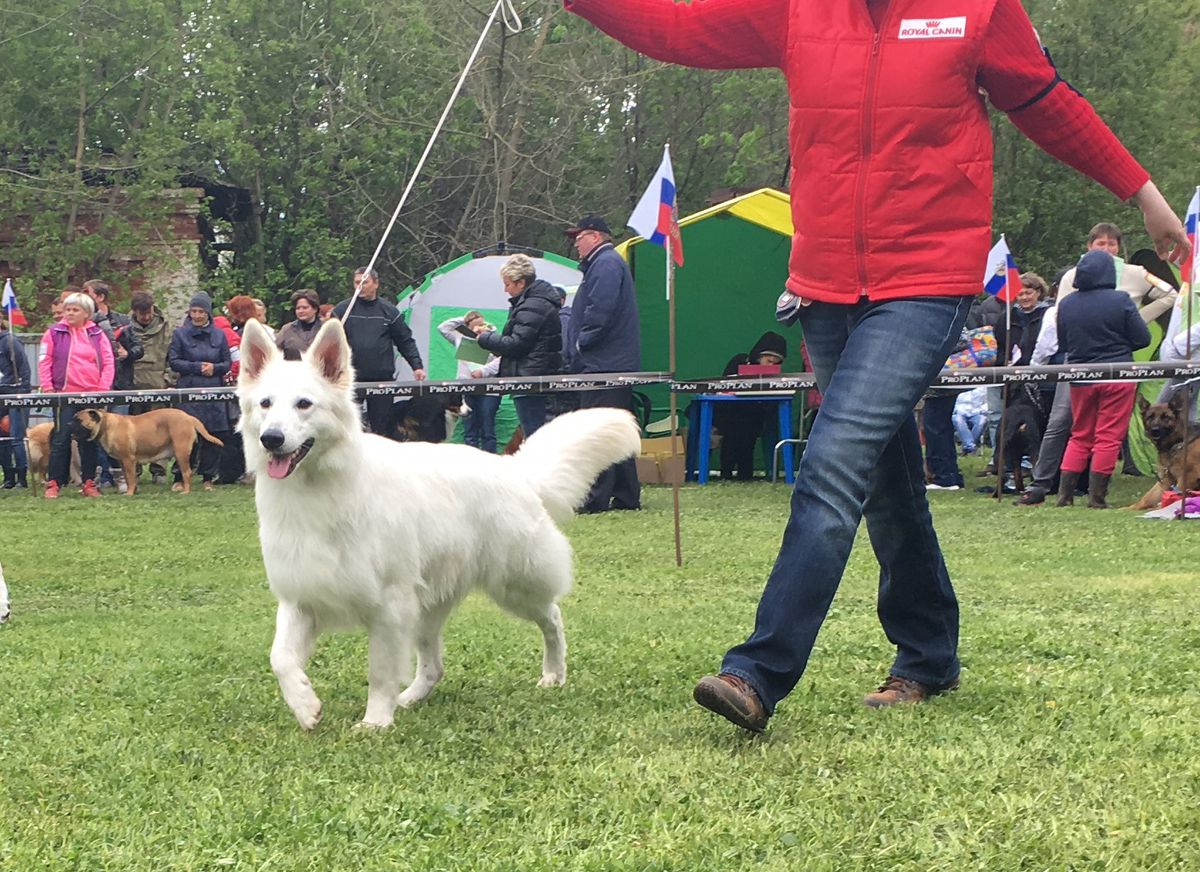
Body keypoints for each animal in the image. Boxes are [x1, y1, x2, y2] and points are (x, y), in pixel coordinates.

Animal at [73, 407, 224, 494]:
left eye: (79, 421)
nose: (69, 425)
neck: (106, 425)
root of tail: (189, 417)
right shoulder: (122, 461)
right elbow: (127, 477)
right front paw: (131, 490)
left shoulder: (129, 460)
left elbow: (131, 478)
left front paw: (130, 493)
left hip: (181, 451)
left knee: (186, 472)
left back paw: (185, 491)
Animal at [237, 321, 643, 729]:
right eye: (266, 404)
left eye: (304, 404)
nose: (271, 439)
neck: (319, 490)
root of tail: (513, 469)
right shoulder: (302, 595)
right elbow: (280, 658)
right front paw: (305, 705)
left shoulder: (390, 606)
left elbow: (380, 672)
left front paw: (375, 722)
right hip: (429, 608)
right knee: (433, 667)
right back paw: (410, 698)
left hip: (516, 587)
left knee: (553, 619)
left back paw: (553, 674)